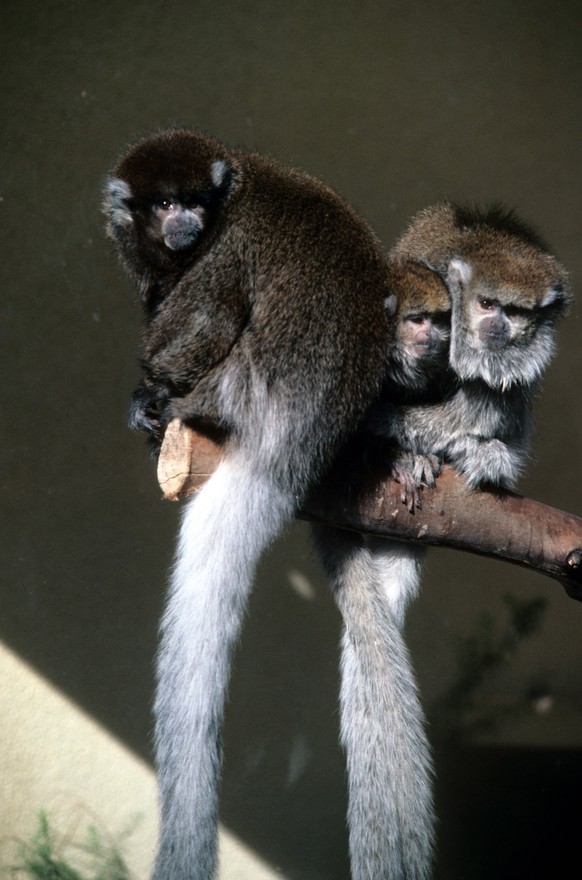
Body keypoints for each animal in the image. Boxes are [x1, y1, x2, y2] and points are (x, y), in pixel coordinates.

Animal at [104, 129, 435, 880]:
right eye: (163, 203)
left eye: (193, 201)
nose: (185, 221)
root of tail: (290, 434)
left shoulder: (223, 250)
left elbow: (198, 326)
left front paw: (149, 388)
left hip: (234, 385)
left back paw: (163, 407)